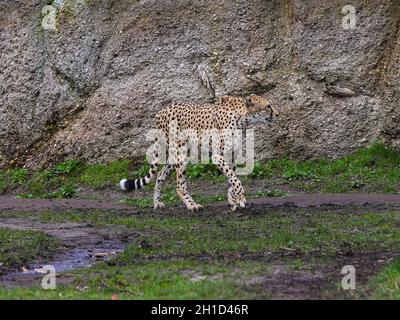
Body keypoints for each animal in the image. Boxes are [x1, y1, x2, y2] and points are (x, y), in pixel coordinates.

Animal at [120, 94, 280, 211]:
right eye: (268, 106)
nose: (278, 114)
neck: (243, 117)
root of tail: (162, 110)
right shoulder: (218, 156)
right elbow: (235, 179)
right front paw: (240, 198)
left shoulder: (232, 156)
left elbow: (231, 179)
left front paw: (232, 201)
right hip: (180, 154)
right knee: (179, 185)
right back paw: (192, 205)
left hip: (178, 155)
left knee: (160, 175)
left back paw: (157, 202)